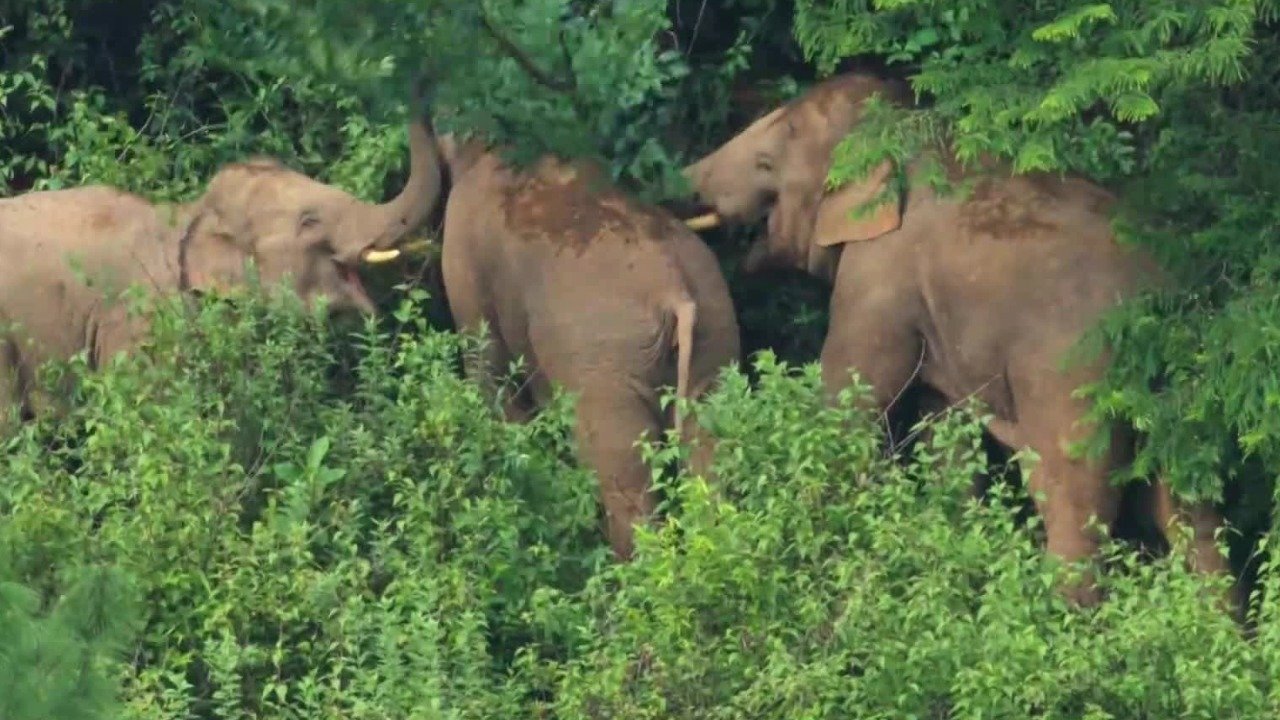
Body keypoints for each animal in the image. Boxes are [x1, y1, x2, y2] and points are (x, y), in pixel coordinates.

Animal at [414, 128, 742, 558]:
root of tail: (674, 290)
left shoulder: (464, 263)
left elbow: (490, 378)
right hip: (715, 334)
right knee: (707, 458)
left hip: (609, 365)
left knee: (626, 485)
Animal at [680, 70, 1239, 609]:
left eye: (766, 162)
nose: (686, 180)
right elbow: (944, 435)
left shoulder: (880, 278)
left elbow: (848, 404)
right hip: (1179, 389)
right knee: (1192, 509)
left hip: (1071, 369)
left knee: (1071, 497)